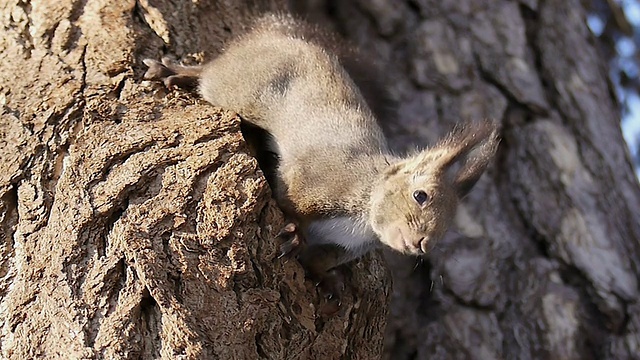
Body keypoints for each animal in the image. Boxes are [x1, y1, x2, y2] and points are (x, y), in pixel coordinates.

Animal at [144, 12, 500, 308]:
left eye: (448, 226)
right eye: (420, 195)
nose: (423, 244)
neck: (363, 215)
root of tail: (276, 36)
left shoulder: (340, 247)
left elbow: (319, 260)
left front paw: (328, 280)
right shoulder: (315, 181)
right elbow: (289, 200)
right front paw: (293, 231)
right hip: (237, 86)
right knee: (208, 73)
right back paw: (175, 71)